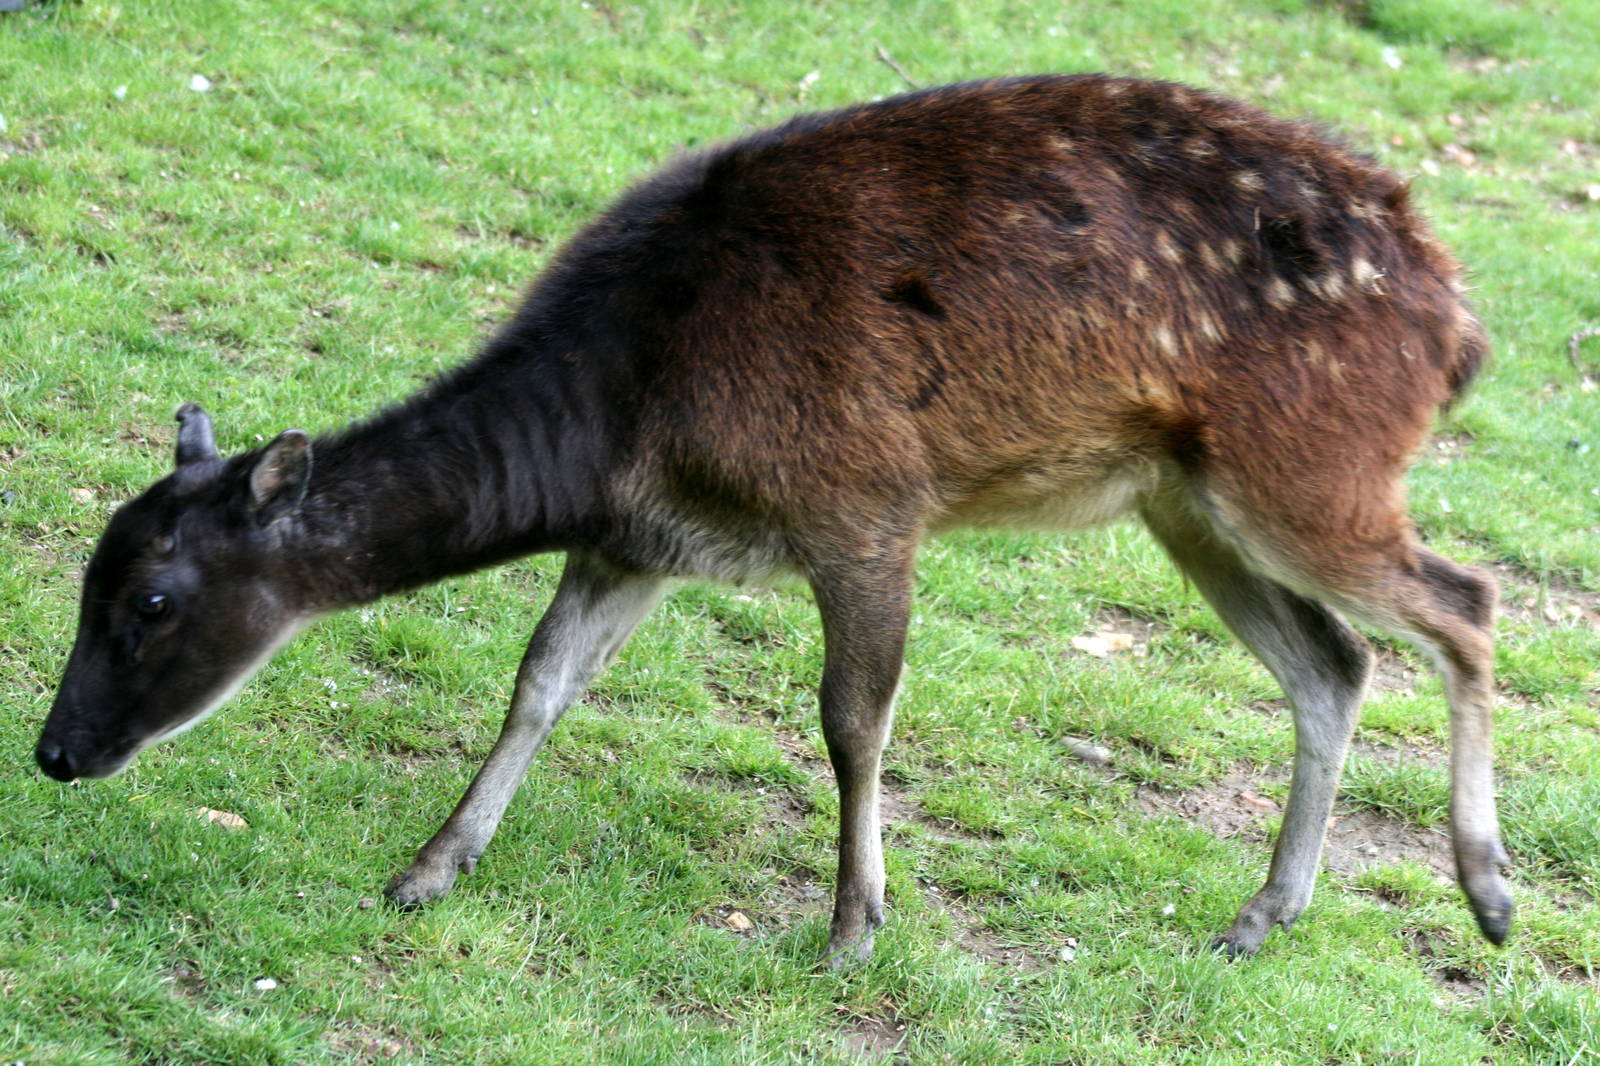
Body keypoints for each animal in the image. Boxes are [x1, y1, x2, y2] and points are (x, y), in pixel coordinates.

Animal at [35, 75, 1511, 967]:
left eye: (152, 600)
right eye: (87, 581)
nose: (54, 751)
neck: (628, 409)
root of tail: (1460, 325)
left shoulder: (865, 505)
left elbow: (851, 718)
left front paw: (854, 923)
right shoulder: (637, 539)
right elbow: (538, 684)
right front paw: (427, 870)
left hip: (1308, 470)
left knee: (1467, 602)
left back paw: (1489, 891)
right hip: (1186, 499)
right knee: (1335, 660)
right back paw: (1261, 914)